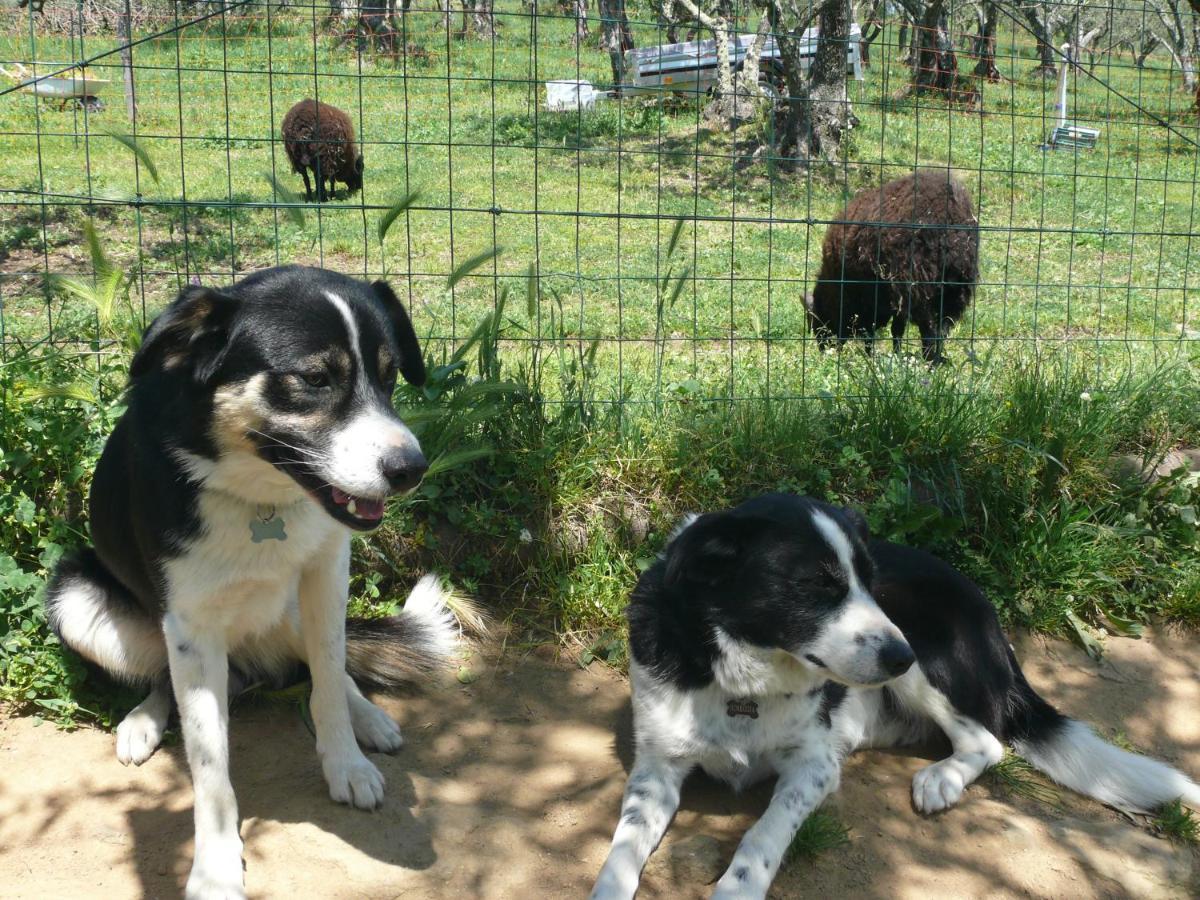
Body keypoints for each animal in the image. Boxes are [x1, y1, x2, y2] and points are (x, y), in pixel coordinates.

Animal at [42, 267, 465, 900]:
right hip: (74, 594)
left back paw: (368, 715)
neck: (258, 495)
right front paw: (215, 867)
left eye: (390, 376)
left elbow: (328, 680)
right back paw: (142, 721)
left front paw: (347, 763)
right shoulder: (187, 624)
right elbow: (209, 760)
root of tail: (248, 665)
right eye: (314, 378)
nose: (411, 469)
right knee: (161, 680)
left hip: (292, 608)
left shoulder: (327, 570)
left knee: (329, 663)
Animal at [590, 494, 1200, 900]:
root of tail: (991, 623)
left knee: (988, 740)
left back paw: (942, 778)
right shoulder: (656, 769)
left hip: (929, 657)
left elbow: (762, 836)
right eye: (817, 586)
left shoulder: (813, 768)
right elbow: (621, 848)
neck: (744, 678)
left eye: (869, 580)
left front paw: (736, 888)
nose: (898, 655)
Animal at [806, 170, 984, 364]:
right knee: (941, 330)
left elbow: (879, 332)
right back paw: (936, 361)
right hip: (955, 289)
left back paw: (928, 362)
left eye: (818, 317)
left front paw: (876, 357)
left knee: (928, 330)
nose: (823, 350)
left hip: (918, 286)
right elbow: (894, 330)